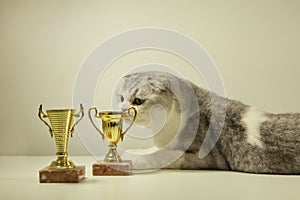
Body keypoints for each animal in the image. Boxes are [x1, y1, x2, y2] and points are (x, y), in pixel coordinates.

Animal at [114, 71, 300, 174]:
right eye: (121, 98)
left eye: (138, 101)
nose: (121, 109)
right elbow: (154, 148)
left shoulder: (207, 157)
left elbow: (163, 154)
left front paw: (135, 158)